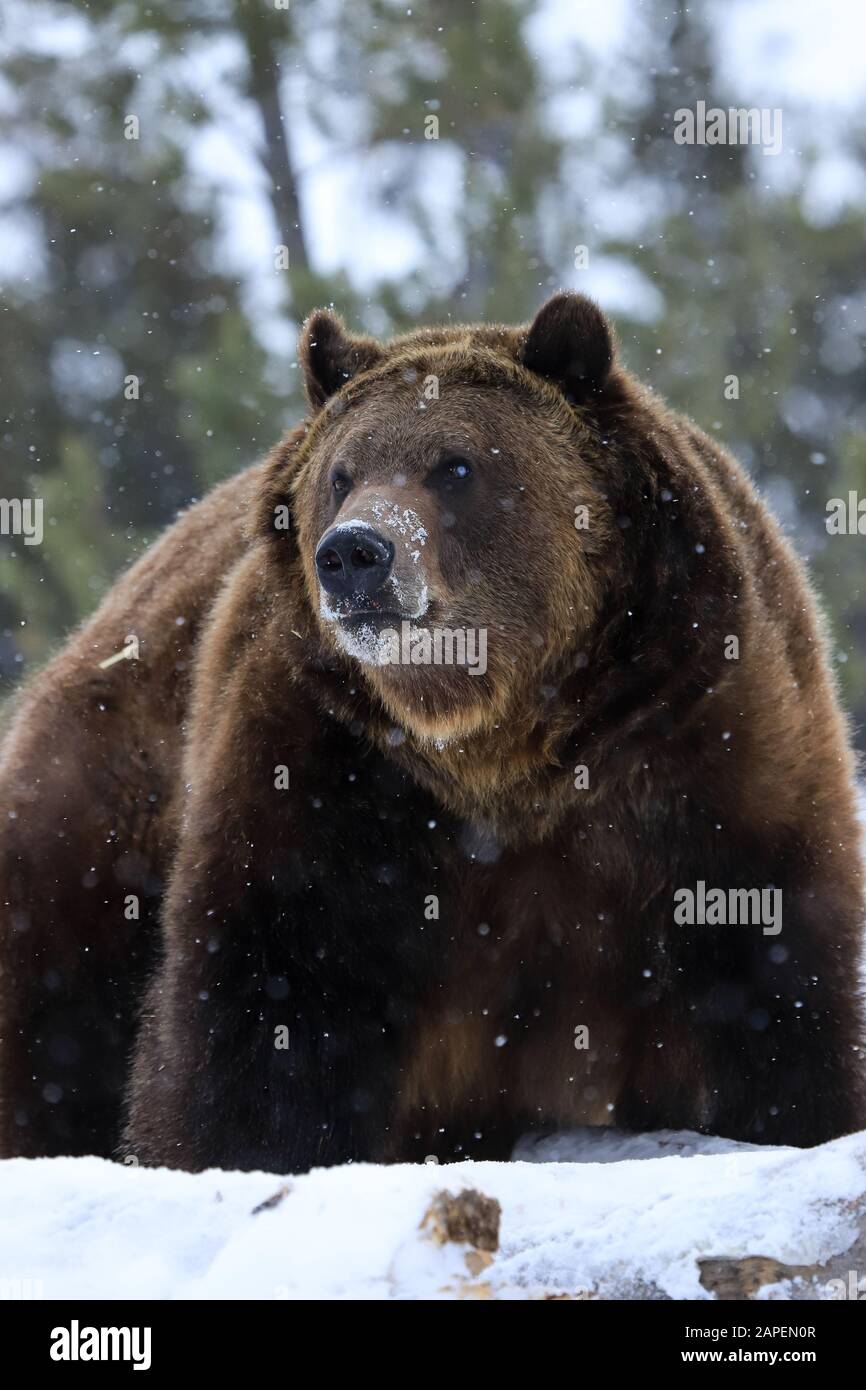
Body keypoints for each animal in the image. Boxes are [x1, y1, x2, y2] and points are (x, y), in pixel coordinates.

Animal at [0, 293, 861, 1173]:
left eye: (457, 465)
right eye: (341, 473)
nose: (354, 553)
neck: (501, 747)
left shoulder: (703, 750)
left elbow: (769, 992)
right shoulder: (332, 775)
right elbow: (268, 1009)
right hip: (103, 809)